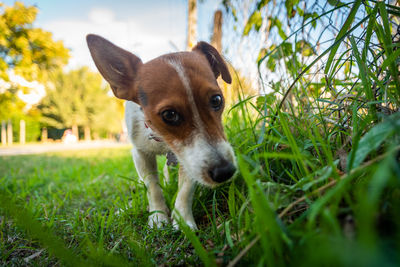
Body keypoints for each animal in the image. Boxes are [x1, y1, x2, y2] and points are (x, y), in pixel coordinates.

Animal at [86, 34, 238, 230]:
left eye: (217, 100)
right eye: (169, 115)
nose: (225, 171)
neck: (160, 138)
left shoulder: (186, 157)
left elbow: (186, 188)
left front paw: (182, 219)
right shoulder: (140, 153)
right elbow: (152, 187)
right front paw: (158, 216)